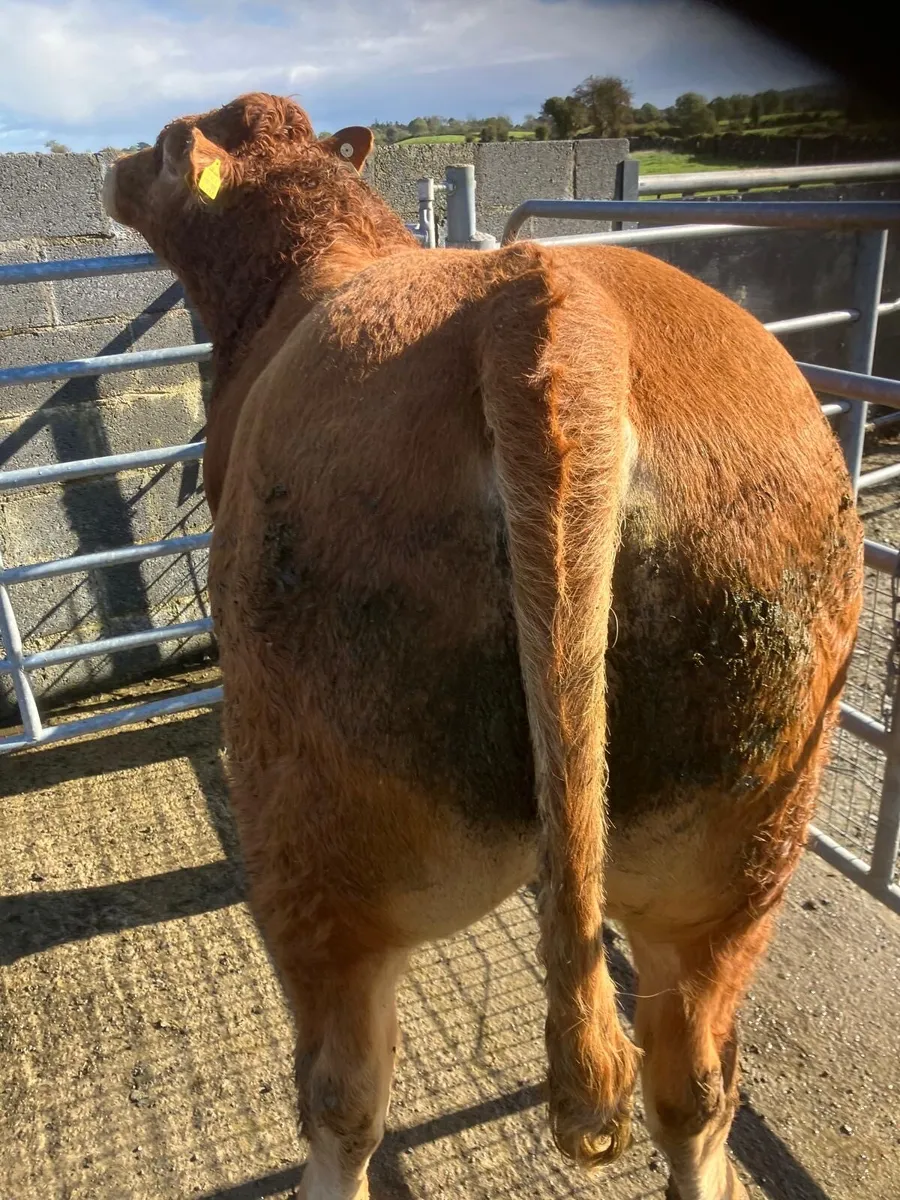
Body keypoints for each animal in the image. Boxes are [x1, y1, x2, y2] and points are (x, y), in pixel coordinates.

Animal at [103, 93, 862, 1200]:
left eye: (160, 147)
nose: (108, 171)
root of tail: (554, 309)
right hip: (742, 842)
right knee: (694, 1086)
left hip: (318, 835)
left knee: (343, 1097)